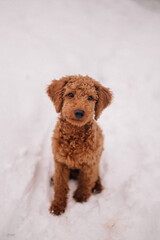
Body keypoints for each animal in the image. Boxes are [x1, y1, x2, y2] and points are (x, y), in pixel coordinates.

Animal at [46, 75, 112, 216]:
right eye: (70, 94)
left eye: (90, 98)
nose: (79, 112)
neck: (74, 137)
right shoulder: (60, 162)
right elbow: (60, 185)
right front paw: (57, 206)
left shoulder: (90, 161)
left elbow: (86, 179)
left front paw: (81, 195)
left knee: (95, 175)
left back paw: (97, 186)